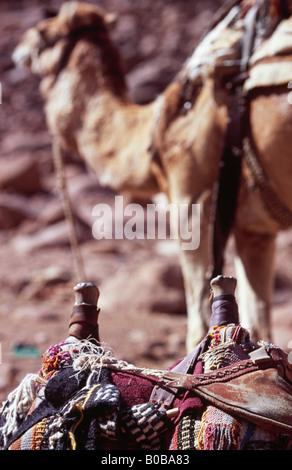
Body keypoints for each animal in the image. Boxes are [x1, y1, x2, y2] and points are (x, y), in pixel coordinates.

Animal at [13, 0, 292, 352]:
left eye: (41, 31)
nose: (18, 49)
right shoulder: (255, 230)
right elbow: (260, 324)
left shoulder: (192, 201)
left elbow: (198, 323)